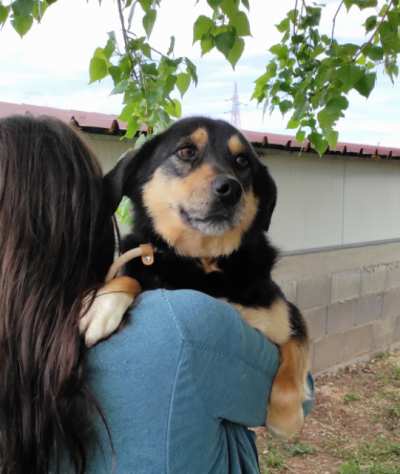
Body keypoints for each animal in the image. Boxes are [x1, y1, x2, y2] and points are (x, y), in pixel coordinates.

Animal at [102, 117, 310, 436]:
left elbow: (294, 354)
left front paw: (285, 418)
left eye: (242, 161)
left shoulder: (288, 315)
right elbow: (129, 278)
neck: (206, 263)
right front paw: (98, 310)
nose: (230, 189)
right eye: (187, 151)